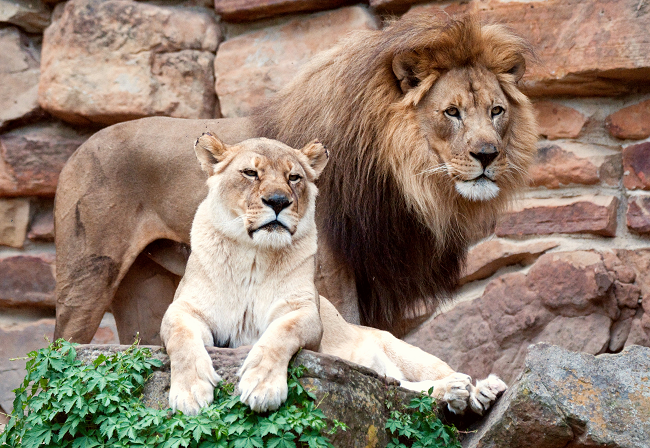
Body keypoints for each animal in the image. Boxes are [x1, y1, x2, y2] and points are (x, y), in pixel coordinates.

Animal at [53, 13, 536, 344]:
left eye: (496, 110)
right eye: (451, 112)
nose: (487, 155)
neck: (409, 180)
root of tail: (78, 148)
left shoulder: (375, 268)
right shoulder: (331, 262)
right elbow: (346, 324)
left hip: (146, 287)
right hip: (87, 275)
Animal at [163, 134, 506, 416]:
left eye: (294, 177)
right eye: (250, 173)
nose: (278, 201)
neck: (254, 256)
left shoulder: (304, 313)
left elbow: (279, 335)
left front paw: (262, 386)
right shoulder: (183, 310)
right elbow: (181, 340)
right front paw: (190, 394)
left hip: (405, 350)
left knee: (436, 374)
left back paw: (479, 391)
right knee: (403, 387)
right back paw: (454, 393)